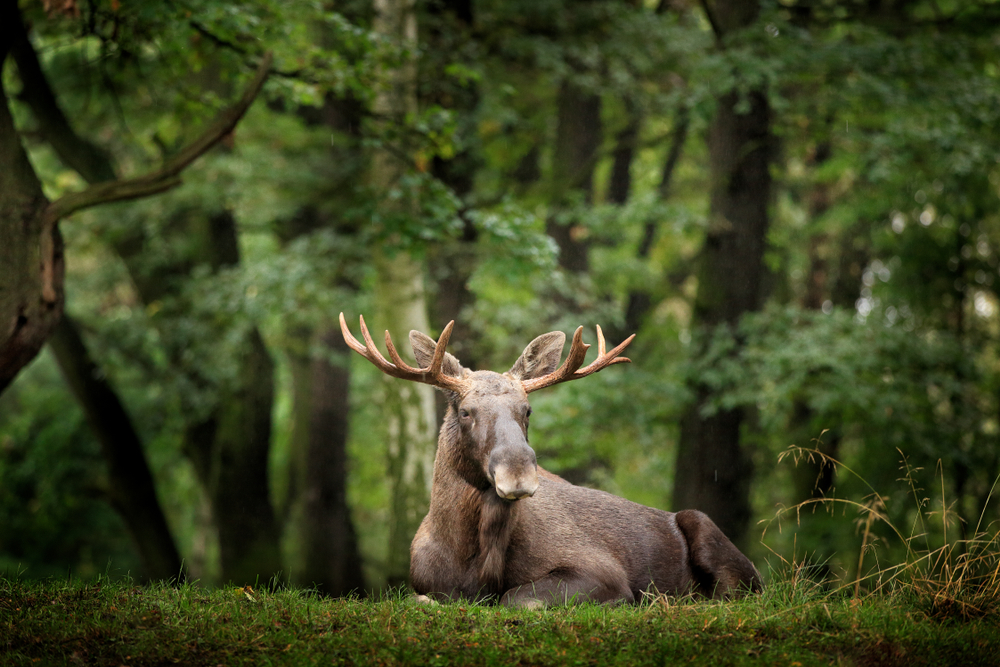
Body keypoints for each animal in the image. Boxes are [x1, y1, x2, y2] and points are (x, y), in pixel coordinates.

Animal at [340, 313, 762, 607]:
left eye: (527, 410)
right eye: (465, 411)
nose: (518, 473)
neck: (475, 562)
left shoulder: (602, 570)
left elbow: (518, 599)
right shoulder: (422, 583)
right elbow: (423, 599)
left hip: (713, 537)